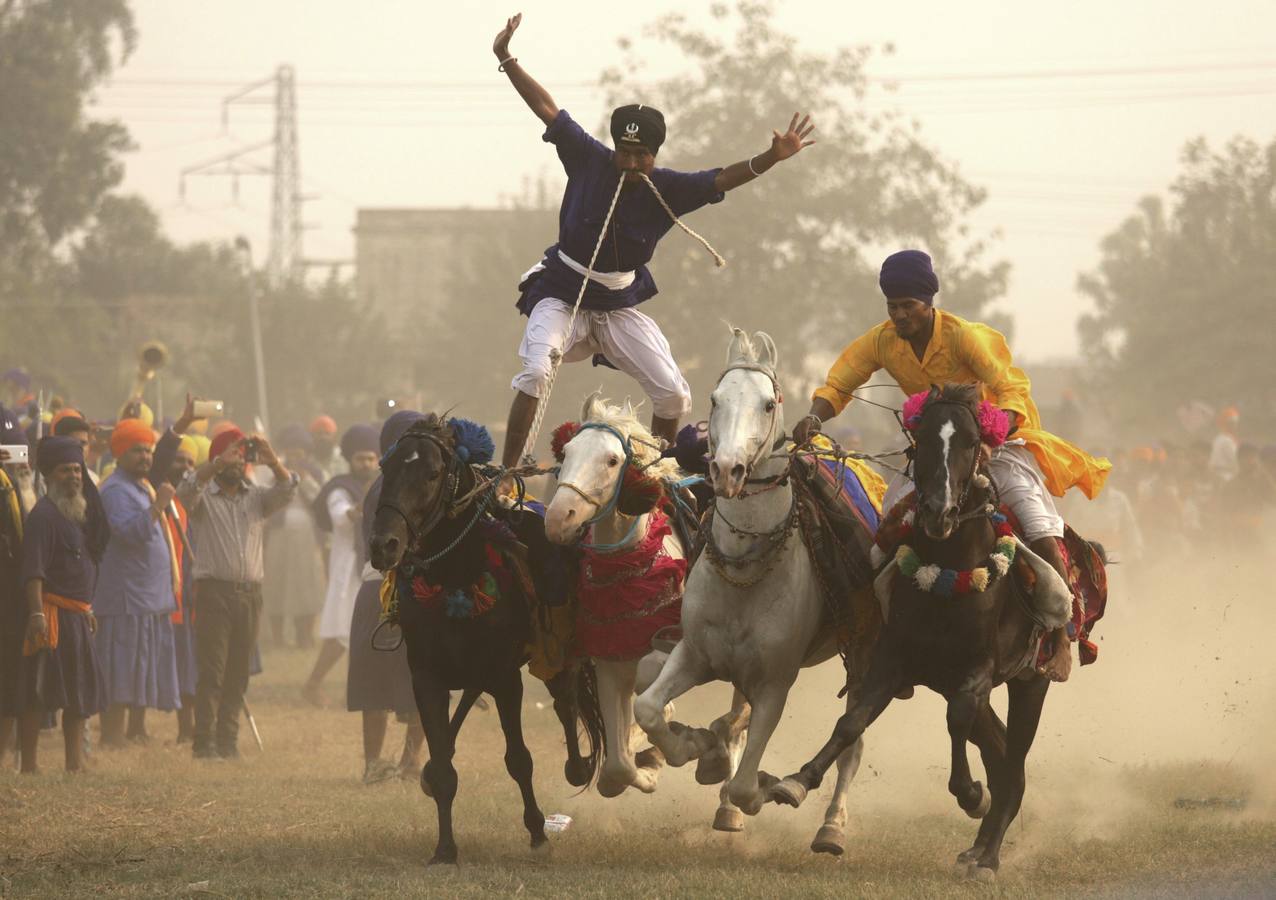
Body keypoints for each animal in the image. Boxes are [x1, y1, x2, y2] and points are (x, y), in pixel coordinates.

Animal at [370, 413, 602, 862]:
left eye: (432, 473)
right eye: (386, 468)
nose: (383, 545)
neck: (455, 576)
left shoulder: (505, 678)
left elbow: (519, 759)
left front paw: (538, 832)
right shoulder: (427, 678)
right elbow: (444, 766)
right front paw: (445, 848)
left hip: (555, 650)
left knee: (565, 701)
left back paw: (577, 766)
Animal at [543, 393, 750, 827]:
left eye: (611, 460)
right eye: (566, 453)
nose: (557, 519)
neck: (629, 571)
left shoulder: (673, 647)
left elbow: (650, 690)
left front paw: (688, 743)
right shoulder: (608, 659)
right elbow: (616, 769)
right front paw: (651, 762)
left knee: (741, 714)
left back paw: (727, 793)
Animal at [630, 326, 862, 852]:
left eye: (768, 403)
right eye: (716, 400)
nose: (727, 470)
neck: (745, 569)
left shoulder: (777, 681)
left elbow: (744, 780)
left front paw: (764, 786)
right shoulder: (693, 652)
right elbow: (649, 709)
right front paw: (693, 745)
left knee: (851, 742)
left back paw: (832, 826)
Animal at [765, 385, 1066, 878]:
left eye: (971, 441)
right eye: (921, 439)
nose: (938, 512)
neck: (950, 571)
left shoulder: (978, 670)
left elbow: (957, 719)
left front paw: (969, 793)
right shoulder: (893, 660)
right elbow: (851, 722)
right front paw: (798, 780)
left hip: (1030, 681)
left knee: (1013, 756)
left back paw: (989, 854)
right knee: (1003, 754)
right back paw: (977, 849)